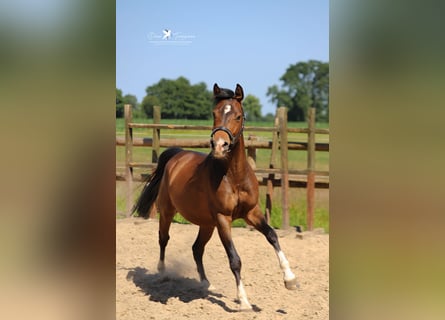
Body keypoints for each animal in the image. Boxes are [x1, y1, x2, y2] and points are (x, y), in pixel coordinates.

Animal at [133, 82, 298, 310]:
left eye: (238, 115)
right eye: (214, 113)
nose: (220, 145)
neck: (234, 176)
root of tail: (177, 155)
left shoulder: (251, 213)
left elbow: (272, 236)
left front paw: (290, 280)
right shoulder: (223, 219)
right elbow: (235, 259)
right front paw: (244, 301)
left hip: (206, 224)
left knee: (196, 249)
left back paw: (206, 284)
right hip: (168, 212)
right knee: (163, 239)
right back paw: (163, 273)